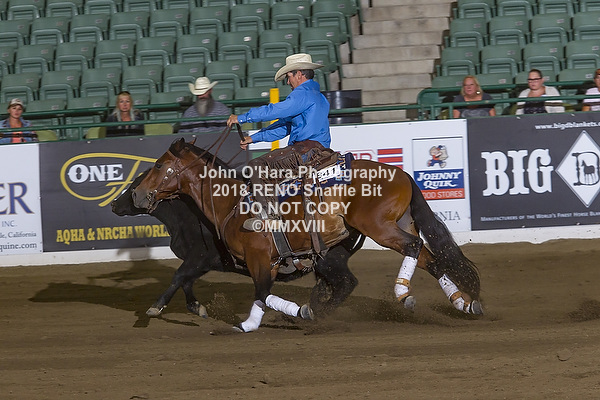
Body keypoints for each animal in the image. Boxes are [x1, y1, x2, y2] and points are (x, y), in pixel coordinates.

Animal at [112, 169, 365, 318]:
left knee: (346, 283)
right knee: (328, 286)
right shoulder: (204, 263)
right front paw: (196, 307)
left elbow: (178, 277)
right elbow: (186, 281)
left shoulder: (199, 257)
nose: (114, 204)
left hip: (330, 260)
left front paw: (157, 306)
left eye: (133, 185)